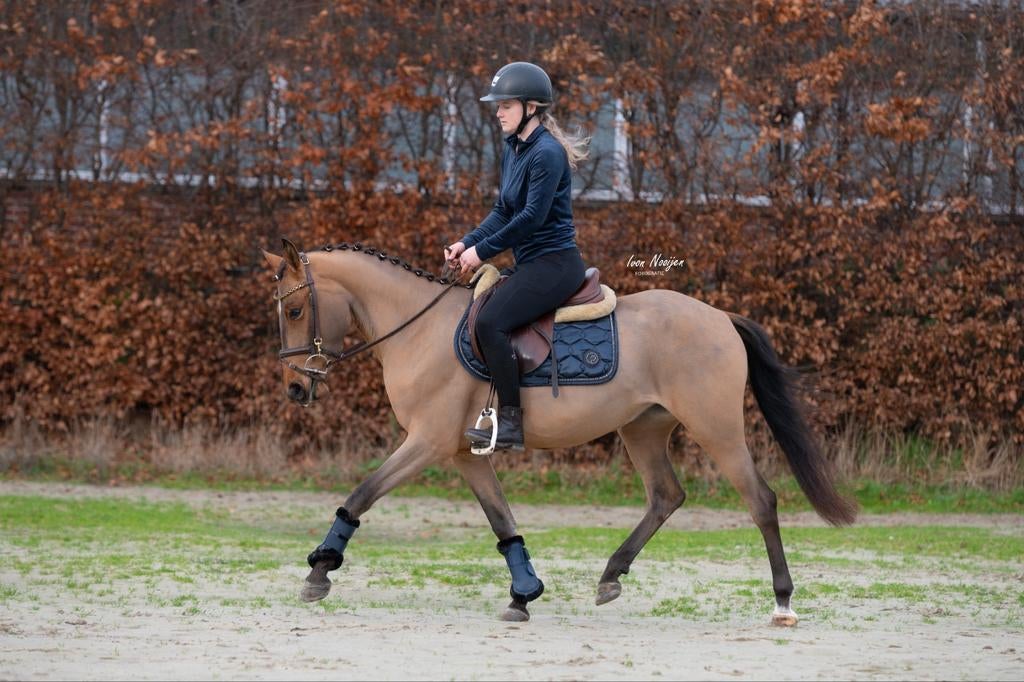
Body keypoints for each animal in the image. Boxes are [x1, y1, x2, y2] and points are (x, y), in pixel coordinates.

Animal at [263, 237, 856, 625]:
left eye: (294, 311)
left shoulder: (427, 443)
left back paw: (782, 601)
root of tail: (719, 317)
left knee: (760, 500)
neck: (419, 327)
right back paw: (611, 575)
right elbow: (502, 521)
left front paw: (320, 568)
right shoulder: (465, 454)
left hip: (718, 430)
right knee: (666, 496)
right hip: (643, 430)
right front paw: (523, 593)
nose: (294, 389)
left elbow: (361, 494)